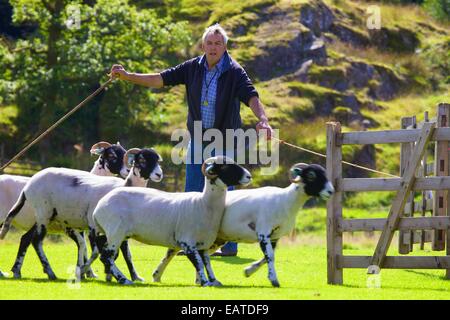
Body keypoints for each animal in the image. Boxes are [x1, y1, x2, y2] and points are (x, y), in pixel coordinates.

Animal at [0, 146, 162, 282]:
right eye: (142, 159)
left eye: (157, 159)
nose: (159, 174)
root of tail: (28, 186)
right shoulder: (93, 226)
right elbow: (97, 251)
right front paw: (89, 272)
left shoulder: (118, 228)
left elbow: (122, 253)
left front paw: (117, 275)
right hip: (43, 213)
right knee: (36, 241)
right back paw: (49, 272)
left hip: (45, 217)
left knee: (26, 239)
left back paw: (18, 271)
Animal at [85, 155, 253, 284]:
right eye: (225, 167)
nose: (249, 176)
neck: (203, 203)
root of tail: (99, 206)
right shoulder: (187, 243)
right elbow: (198, 264)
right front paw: (205, 282)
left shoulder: (203, 244)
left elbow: (207, 262)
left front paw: (214, 281)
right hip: (115, 232)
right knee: (106, 256)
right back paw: (124, 280)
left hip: (108, 232)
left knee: (105, 253)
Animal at [153, 162, 332, 288]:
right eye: (311, 175)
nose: (330, 191)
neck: (285, 200)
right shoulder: (263, 232)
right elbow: (270, 256)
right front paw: (274, 280)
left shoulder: (274, 236)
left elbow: (268, 257)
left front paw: (248, 271)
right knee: (174, 251)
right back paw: (158, 275)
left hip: (216, 238)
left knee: (194, 253)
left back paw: (194, 279)